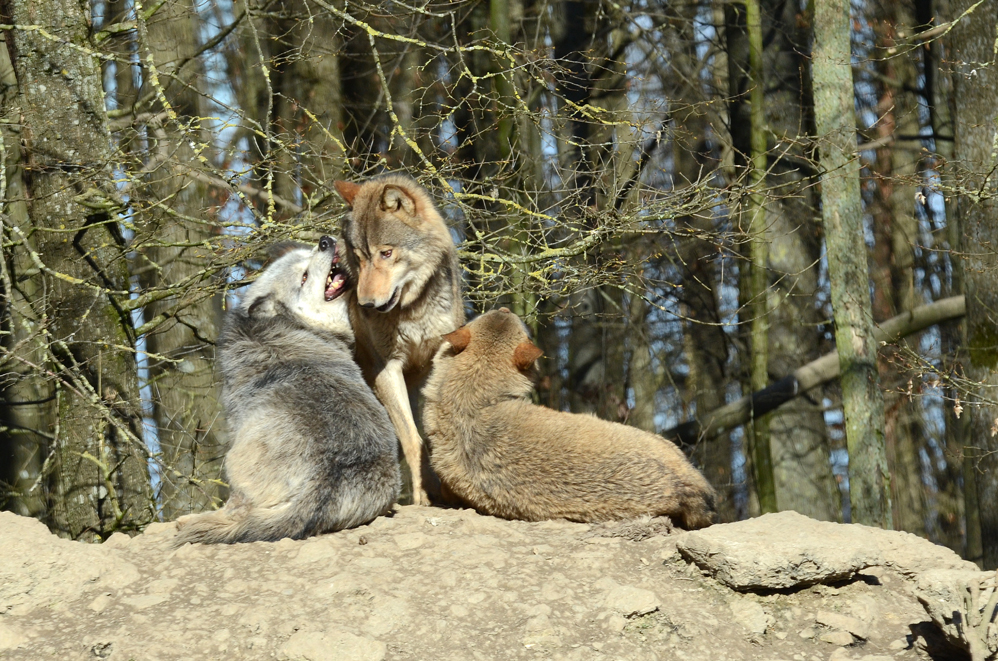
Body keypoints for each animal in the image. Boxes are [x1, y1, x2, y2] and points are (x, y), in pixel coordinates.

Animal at [173, 235, 402, 544]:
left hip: (233, 463)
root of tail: (322, 479)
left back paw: (188, 521)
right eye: (304, 276)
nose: (325, 241)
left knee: (236, 512)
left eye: (310, 257)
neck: (289, 326)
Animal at [332, 175, 464, 506]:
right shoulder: (387, 369)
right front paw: (420, 498)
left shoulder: (434, 364)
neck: (413, 311)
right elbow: (412, 439)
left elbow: (428, 435)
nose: (365, 304)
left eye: (386, 253)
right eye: (359, 257)